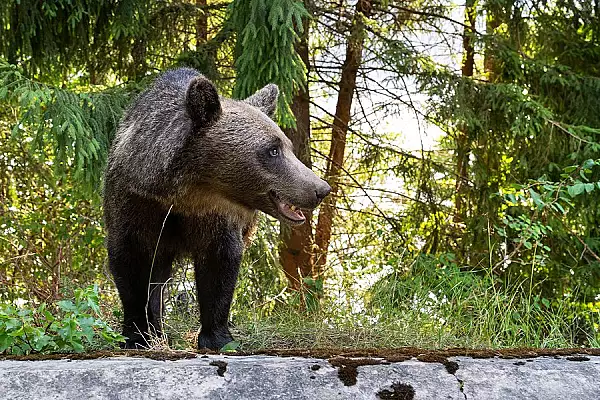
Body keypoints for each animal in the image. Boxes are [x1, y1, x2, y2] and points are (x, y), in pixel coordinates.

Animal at [103, 67, 328, 348]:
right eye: (273, 150)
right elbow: (130, 264)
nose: (320, 189)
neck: (185, 194)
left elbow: (219, 266)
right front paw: (137, 334)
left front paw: (218, 337)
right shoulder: (135, 204)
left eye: (288, 146)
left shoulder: (217, 217)